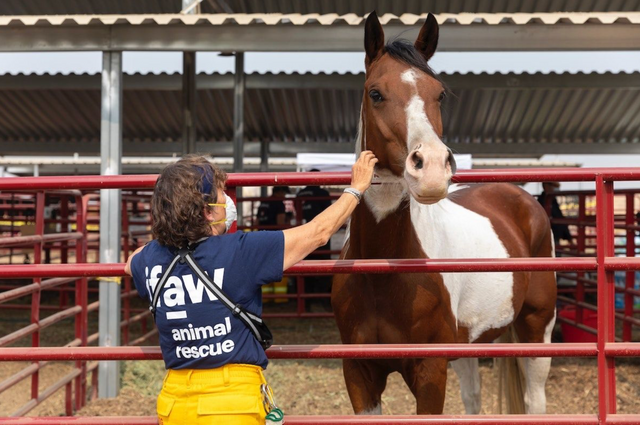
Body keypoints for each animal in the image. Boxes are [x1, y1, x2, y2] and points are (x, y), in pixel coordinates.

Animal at [332, 11, 556, 416]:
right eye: (375, 93)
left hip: (537, 328)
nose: (433, 167)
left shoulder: (430, 371)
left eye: (439, 94)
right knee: (473, 398)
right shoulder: (359, 374)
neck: (382, 270)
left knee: (534, 400)